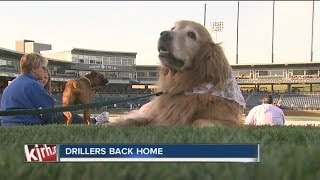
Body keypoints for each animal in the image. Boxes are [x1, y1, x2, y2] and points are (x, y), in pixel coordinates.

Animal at [109, 20, 246, 126]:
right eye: (173, 28)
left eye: (191, 34)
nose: (164, 34)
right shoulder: (156, 115)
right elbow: (133, 120)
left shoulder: (232, 121)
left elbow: (200, 121)